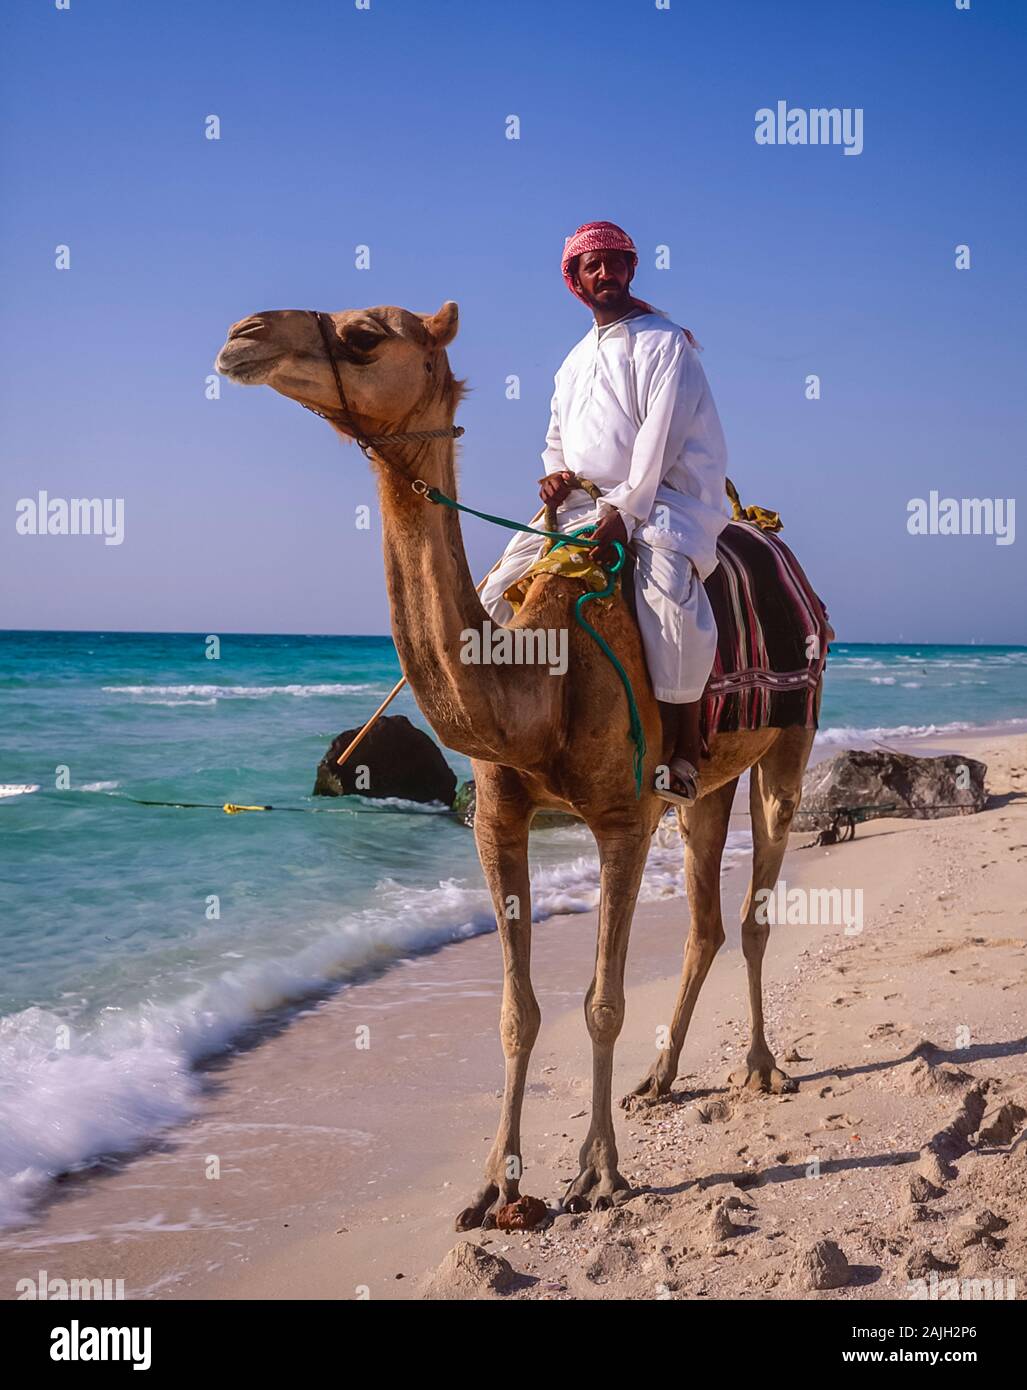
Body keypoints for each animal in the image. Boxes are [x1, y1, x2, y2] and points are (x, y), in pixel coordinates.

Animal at [215, 304, 817, 1228]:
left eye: (363, 335)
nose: (242, 334)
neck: (541, 676)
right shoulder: (497, 815)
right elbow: (515, 1011)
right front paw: (495, 1186)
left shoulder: (621, 818)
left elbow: (600, 1004)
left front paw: (597, 1174)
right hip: (703, 785)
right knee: (704, 920)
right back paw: (661, 1077)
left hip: (791, 731)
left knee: (754, 905)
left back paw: (758, 1067)